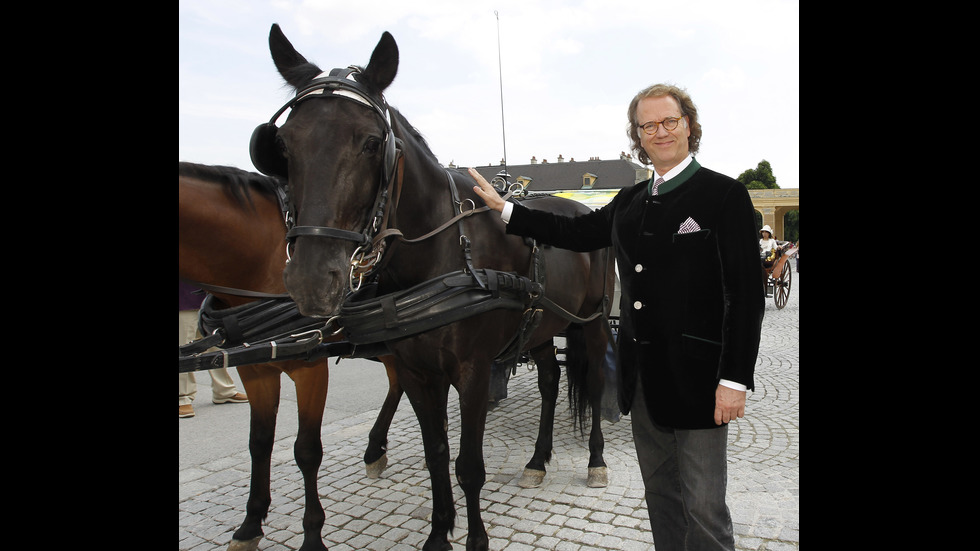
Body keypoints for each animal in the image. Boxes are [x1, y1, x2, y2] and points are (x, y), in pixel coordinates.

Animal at [180, 162, 402, 548]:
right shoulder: (256, 371)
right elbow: (259, 443)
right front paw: (251, 523)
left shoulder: (309, 368)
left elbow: (307, 450)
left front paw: (312, 534)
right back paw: (375, 448)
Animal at [249, 24, 612, 551]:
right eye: (285, 146)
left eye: (371, 142)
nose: (312, 279)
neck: (441, 254)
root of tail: (583, 209)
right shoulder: (417, 371)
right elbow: (436, 455)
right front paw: (440, 533)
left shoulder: (474, 371)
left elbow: (469, 466)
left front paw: (476, 538)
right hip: (542, 325)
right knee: (549, 381)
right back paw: (537, 460)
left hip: (594, 323)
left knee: (596, 378)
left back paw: (596, 460)